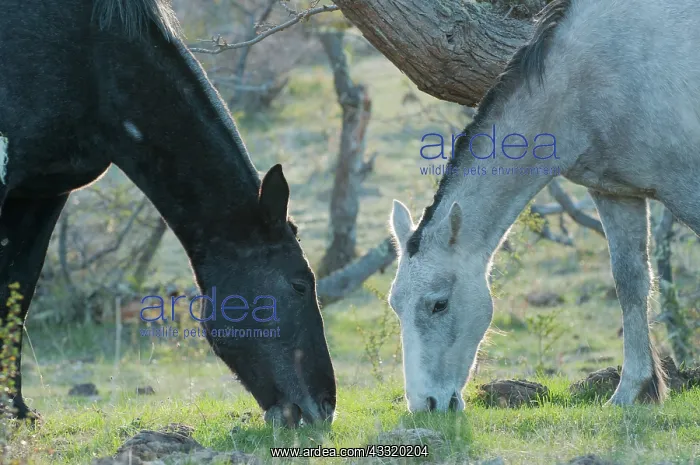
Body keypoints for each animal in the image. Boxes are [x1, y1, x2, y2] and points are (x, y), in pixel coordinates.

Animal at [0, 0, 335, 427]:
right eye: (299, 285)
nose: (325, 407)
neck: (92, 59)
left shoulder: (42, 191)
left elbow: (17, 292)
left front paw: (16, 410)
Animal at [388, 0, 700, 412]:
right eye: (395, 305)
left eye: (439, 305)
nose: (424, 404)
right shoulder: (616, 194)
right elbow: (631, 283)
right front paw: (630, 392)